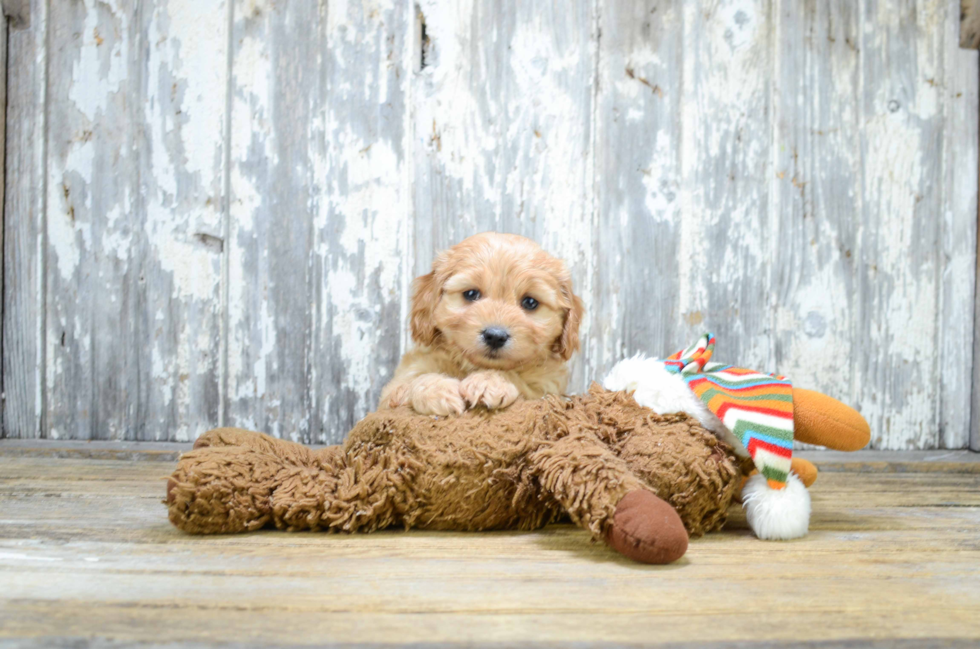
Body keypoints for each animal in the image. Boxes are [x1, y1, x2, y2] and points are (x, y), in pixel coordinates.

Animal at [378, 233, 584, 416]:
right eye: (471, 294)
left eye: (530, 302)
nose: (495, 336)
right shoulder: (393, 391)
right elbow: (413, 382)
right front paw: (439, 391)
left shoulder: (548, 389)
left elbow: (520, 381)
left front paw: (489, 382)